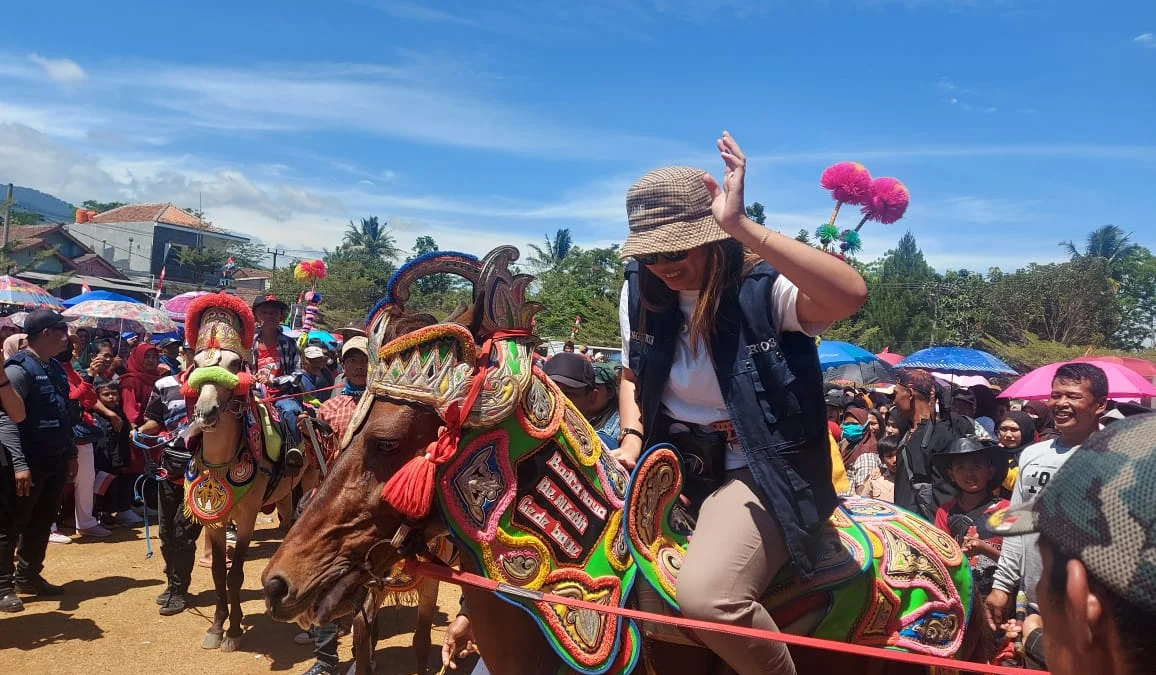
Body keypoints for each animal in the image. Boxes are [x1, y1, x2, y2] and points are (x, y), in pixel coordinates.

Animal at [182, 292, 323, 651]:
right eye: (197, 365)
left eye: (234, 365)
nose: (206, 412)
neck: (224, 460)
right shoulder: (215, 521)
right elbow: (219, 572)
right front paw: (216, 627)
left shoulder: (245, 518)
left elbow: (236, 575)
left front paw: (233, 631)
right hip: (287, 494)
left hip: (311, 483)